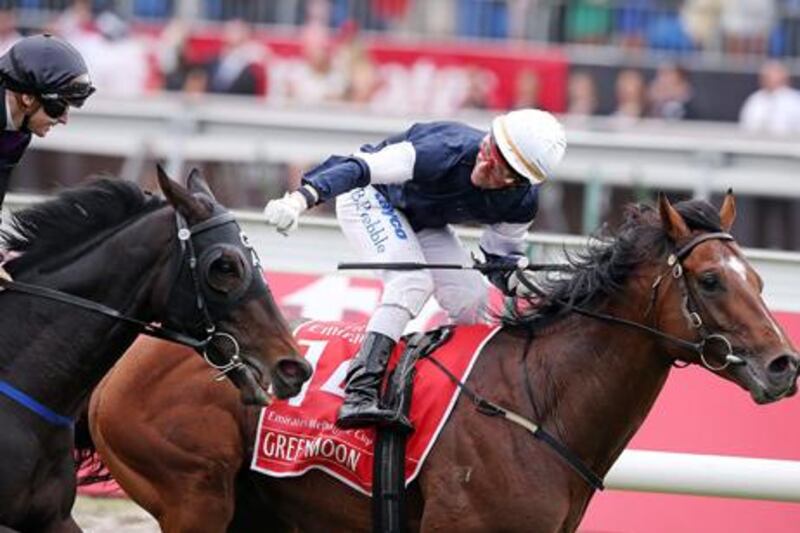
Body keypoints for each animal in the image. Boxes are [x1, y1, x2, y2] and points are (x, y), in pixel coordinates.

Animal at [84, 193, 796, 528]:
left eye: (762, 280)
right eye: (710, 280)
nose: (784, 365)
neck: (539, 402)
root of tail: (136, 351)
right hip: (194, 496)